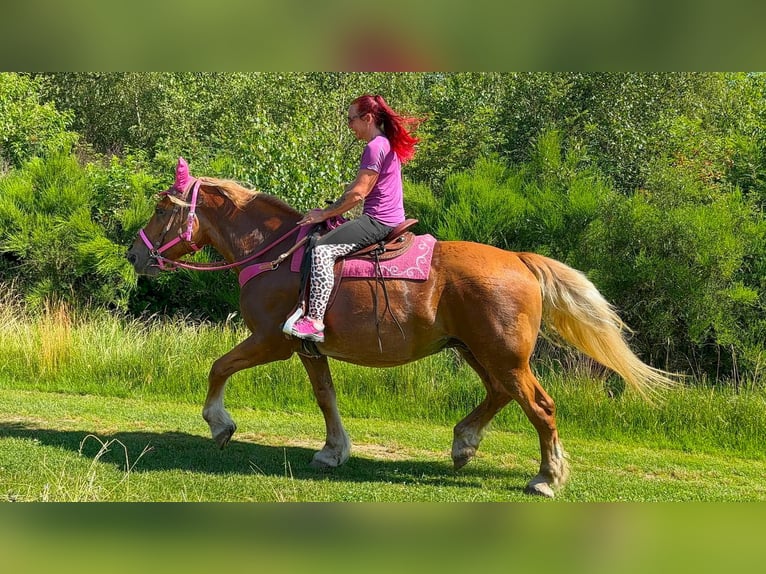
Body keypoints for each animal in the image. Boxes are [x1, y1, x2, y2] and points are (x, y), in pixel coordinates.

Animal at [127, 161, 676, 498]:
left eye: (160, 208)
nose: (134, 254)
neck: (276, 255)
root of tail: (519, 260)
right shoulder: (308, 349)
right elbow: (325, 396)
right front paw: (333, 451)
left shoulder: (272, 341)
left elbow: (219, 367)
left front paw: (219, 423)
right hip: (475, 350)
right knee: (500, 394)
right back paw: (464, 443)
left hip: (504, 355)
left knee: (539, 406)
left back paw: (546, 477)